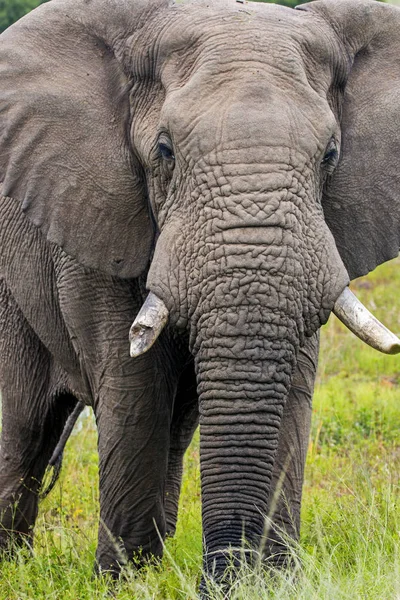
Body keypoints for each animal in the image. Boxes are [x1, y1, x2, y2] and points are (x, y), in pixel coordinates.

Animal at [0, 0, 400, 592]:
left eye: (330, 156)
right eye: (165, 150)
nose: (219, 580)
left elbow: (290, 390)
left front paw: (273, 585)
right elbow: (136, 389)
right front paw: (125, 588)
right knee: (21, 431)